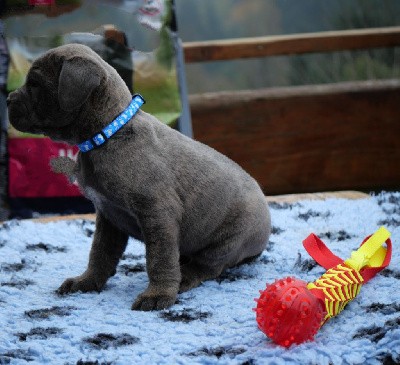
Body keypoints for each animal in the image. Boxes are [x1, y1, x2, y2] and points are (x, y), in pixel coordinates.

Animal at [7, 43, 272, 310]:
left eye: (35, 84)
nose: (7, 99)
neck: (109, 132)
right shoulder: (108, 216)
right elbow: (100, 253)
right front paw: (87, 282)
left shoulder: (157, 213)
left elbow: (159, 259)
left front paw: (158, 294)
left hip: (231, 238)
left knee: (209, 265)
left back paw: (185, 276)